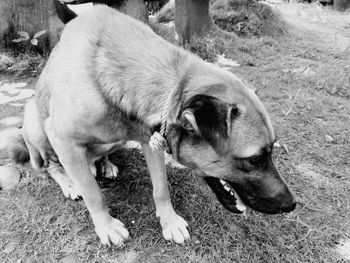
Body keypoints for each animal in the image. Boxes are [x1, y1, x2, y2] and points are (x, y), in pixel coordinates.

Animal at [1, 5, 296, 248]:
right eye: (254, 159)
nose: (292, 205)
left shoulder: (151, 139)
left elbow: (161, 188)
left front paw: (169, 221)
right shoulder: (62, 138)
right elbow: (94, 194)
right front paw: (106, 226)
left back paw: (105, 164)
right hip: (36, 127)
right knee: (49, 166)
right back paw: (70, 183)